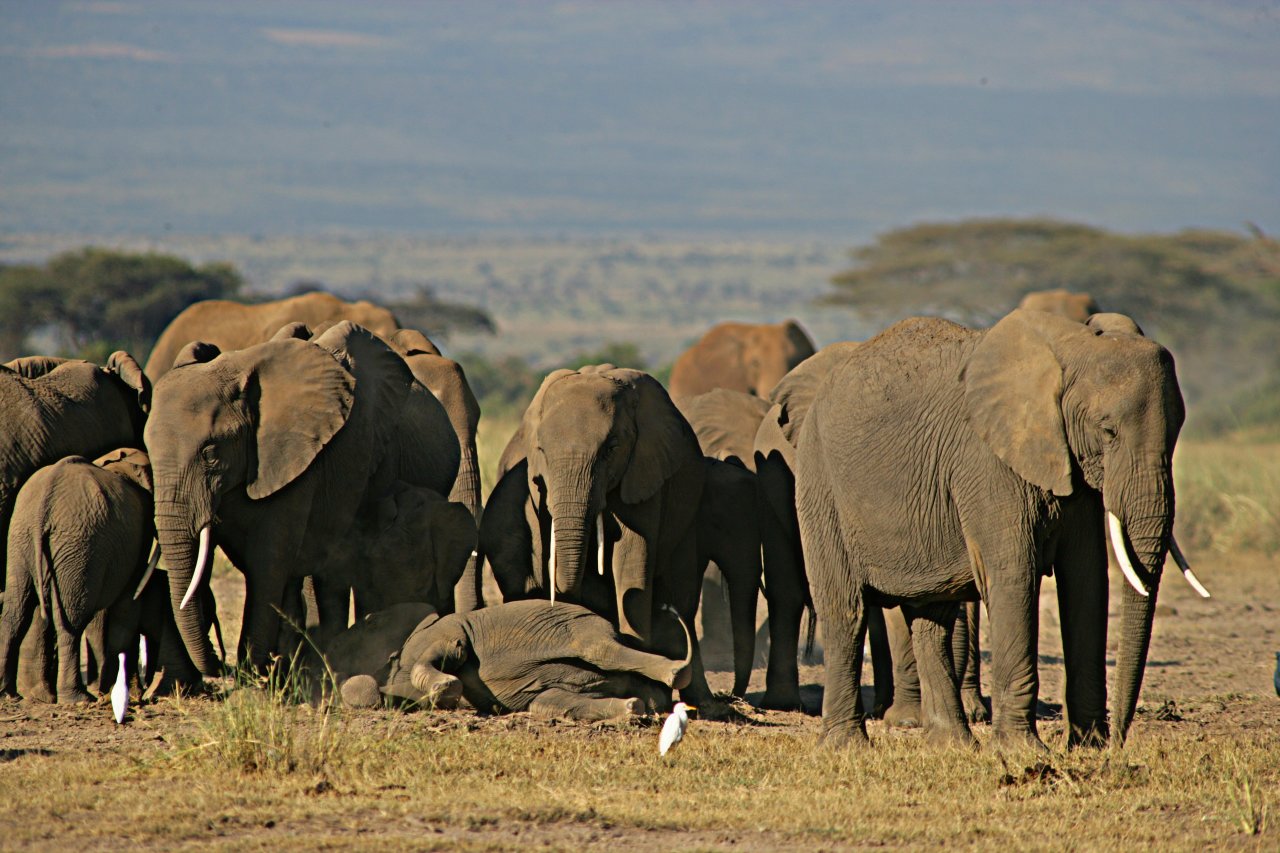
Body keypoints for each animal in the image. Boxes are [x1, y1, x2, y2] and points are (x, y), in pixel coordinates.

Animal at [145, 318, 460, 671]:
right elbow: (217, 553)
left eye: (210, 454)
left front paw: (254, 673)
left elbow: (268, 558)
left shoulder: (297, 460)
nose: (220, 662)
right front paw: (268, 668)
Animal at [486, 361, 711, 701]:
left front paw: (650, 693)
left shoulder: (642, 470)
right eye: (541, 450)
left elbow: (632, 560)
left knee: (682, 593)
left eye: (611, 449)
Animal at [798, 308, 1198, 747]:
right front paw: (1024, 749)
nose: (1119, 741)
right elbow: (1013, 575)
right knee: (845, 611)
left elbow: (1086, 578)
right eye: (1107, 430)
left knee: (932, 618)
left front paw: (1087, 746)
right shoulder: (986, 461)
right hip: (820, 481)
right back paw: (847, 745)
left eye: (1178, 430)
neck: (1069, 346)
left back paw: (952, 745)